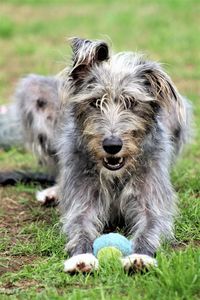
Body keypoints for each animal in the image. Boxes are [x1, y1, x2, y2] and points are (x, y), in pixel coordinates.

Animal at [10, 37, 191, 272]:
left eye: (131, 102)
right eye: (95, 102)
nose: (112, 145)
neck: (115, 175)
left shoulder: (151, 201)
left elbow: (151, 226)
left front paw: (140, 257)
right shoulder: (83, 202)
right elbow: (79, 225)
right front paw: (81, 257)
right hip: (34, 92)